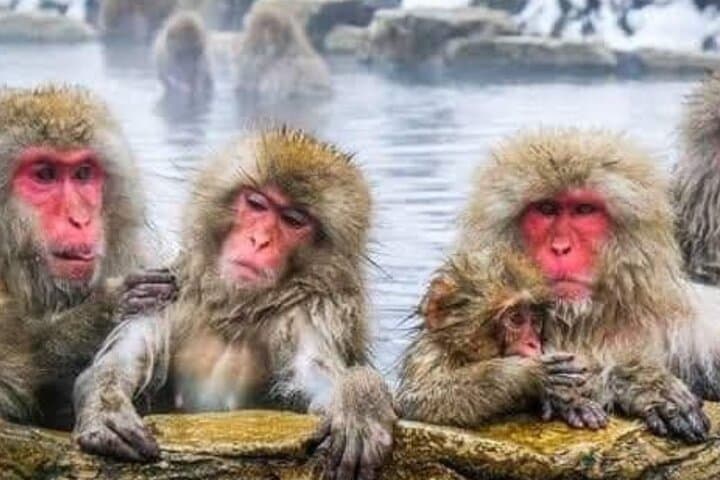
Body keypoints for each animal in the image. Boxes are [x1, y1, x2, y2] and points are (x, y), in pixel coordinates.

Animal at [73, 127, 396, 479]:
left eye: (294, 220)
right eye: (256, 204)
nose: (259, 241)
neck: (234, 310)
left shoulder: (310, 313)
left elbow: (315, 371)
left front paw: (358, 401)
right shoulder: (171, 288)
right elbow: (124, 357)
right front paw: (105, 408)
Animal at [398, 248, 609, 430]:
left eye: (535, 320)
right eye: (516, 318)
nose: (533, 343)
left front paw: (570, 401)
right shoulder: (430, 355)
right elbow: (417, 400)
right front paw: (526, 373)